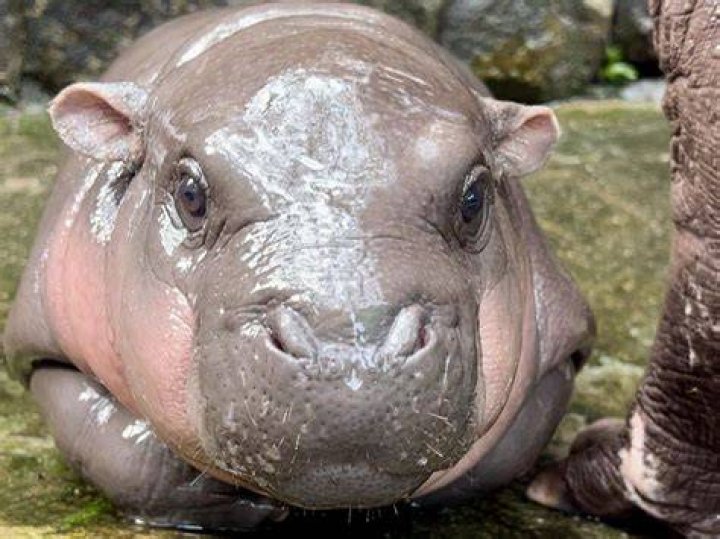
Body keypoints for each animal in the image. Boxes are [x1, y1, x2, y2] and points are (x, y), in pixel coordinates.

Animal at [3, 2, 594, 530]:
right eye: (190, 193)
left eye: (474, 198)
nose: (349, 359)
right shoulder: (40, 350)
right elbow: (124, 455)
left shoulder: (560, 356)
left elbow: (504, 451)